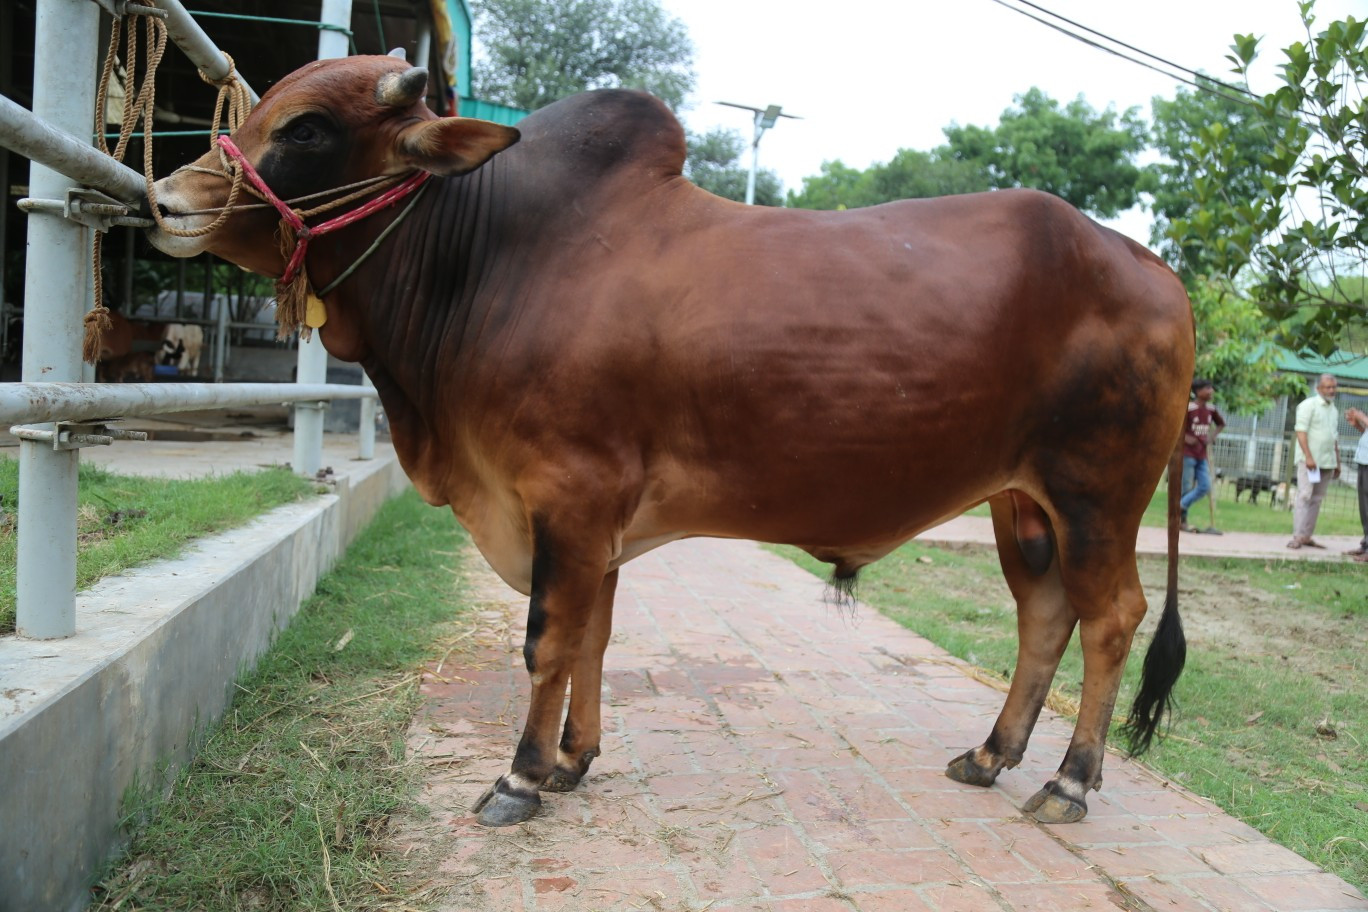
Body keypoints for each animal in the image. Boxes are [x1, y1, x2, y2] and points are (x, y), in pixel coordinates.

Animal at [147, 53, 1195, 829]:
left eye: (306, 128)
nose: (165, 200)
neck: (489, 260)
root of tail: (1150, 267)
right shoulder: (592, 523)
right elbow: (594, 638)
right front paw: (571, 760)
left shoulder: (566, 498)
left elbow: (547, 640)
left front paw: (518, 779)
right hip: (1023, 503)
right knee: (1044, 616)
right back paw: (990, 755)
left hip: (1097, 494)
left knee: (1110, 619)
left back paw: (1068, 782)